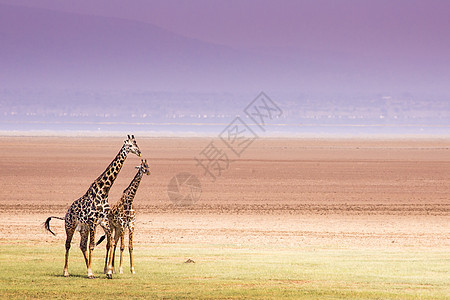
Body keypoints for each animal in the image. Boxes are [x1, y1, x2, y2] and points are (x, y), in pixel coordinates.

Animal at [45, 135, 141, 278]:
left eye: (136, 143)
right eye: (129, 145)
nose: (139, 152)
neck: (104, 190)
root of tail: (66, 213)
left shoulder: (104, 222)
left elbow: (111, 242)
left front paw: (109, 272)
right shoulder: (93, 221)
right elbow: (92, 245)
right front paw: (91, 272)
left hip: (83, 228)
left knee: (82, 245)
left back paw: (88, 268)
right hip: (70, 226)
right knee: (68, 244)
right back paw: (66, 271)